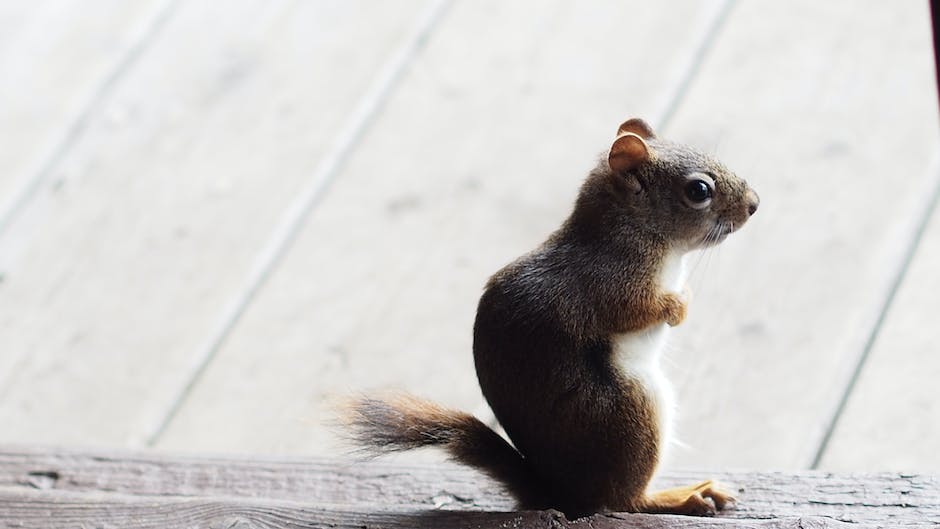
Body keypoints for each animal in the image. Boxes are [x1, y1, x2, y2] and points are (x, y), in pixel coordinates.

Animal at [342, 117, 760, 516]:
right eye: (699, 191)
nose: (754, 203)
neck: (635, 232)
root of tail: (561, 494)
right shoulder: (610, 284)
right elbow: (643, 310)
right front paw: (680, 305)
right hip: (631, 414)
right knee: (625, 500)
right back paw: (681, 496)